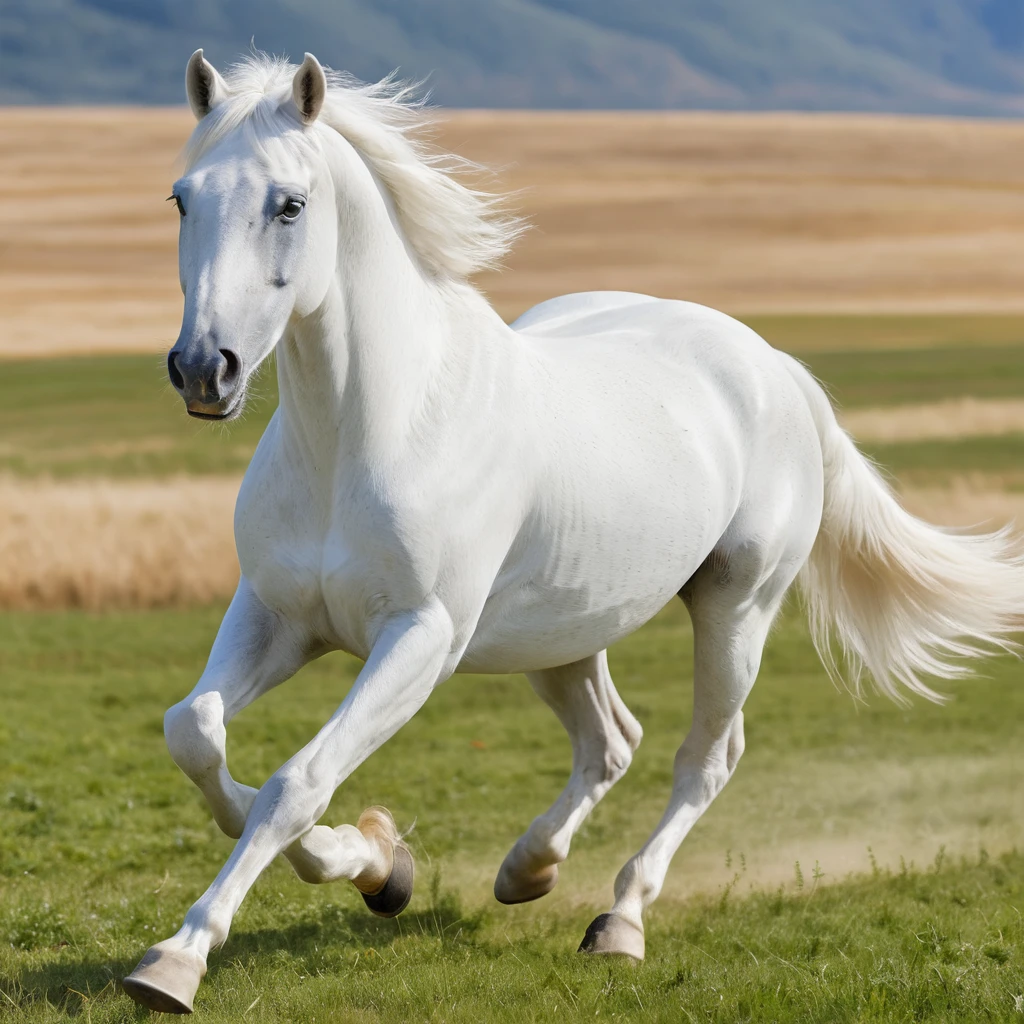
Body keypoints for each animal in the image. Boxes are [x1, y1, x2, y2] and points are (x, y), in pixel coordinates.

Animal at [122, 50, 1024, 1013]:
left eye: (289, 203)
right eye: (181, 198)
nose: (203, 369)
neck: (368, 431)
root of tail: (773, 366)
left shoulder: (419, 638)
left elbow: (296, 781)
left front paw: (178, 960)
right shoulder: (277, 616)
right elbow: (196, 735)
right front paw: (377, 866)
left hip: (736, 607)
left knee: (705, 756)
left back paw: (619, 923)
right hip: (559, 634)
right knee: (610, 740)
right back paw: (528, 869)